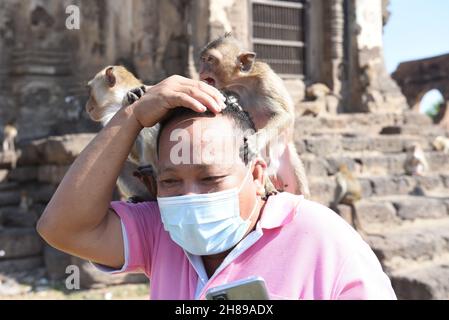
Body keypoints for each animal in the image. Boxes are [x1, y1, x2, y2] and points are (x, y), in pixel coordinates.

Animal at [199, 33, 308, 198]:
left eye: (210, 59)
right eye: (203, 59)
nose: (200, 70)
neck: (242, 83)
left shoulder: (266, 81)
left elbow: (284, 115)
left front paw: (255, 141)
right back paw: (268, 187)